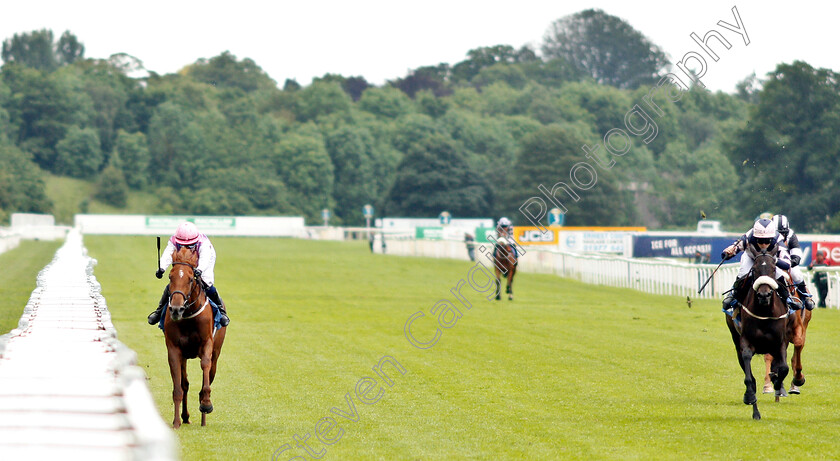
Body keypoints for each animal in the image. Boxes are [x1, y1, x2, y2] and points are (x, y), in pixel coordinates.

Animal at [164, 246, 226, 426]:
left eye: (191, 279)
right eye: (170, 277)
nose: (176, 309)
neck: (188, 316)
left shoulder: (207, 344)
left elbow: (205, 368)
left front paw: (206, 404)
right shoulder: (174, 349)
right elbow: (178, 387)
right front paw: (176, 422)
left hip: (216, 354)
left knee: (209, 375)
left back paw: (203, 417)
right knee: (185, 384)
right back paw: (185, 417)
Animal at [724, 250, 792, 418]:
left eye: (774, 269)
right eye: (754, 270)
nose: (764, 295)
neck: (764, 312)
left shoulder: (780, 343)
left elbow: (784, 368)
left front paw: (777, 383)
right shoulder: (746, 342)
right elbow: (749, 375)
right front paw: (750, 397)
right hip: (736, 340)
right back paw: (755, 410)